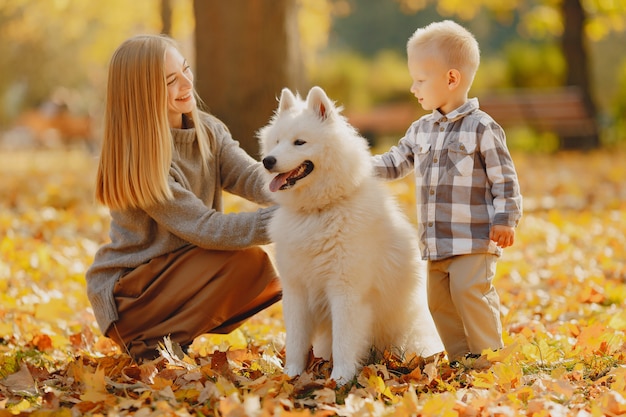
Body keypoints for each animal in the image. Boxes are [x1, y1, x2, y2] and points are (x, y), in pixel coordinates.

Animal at [256, 86, 442, 382]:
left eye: (299, 142)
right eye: (275, 141)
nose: (267, 161)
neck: (318, 211)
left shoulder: (346, 291)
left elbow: (344, 341)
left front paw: (340, 380)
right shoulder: (296, 290)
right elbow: (295, 340)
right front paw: (291, 376)